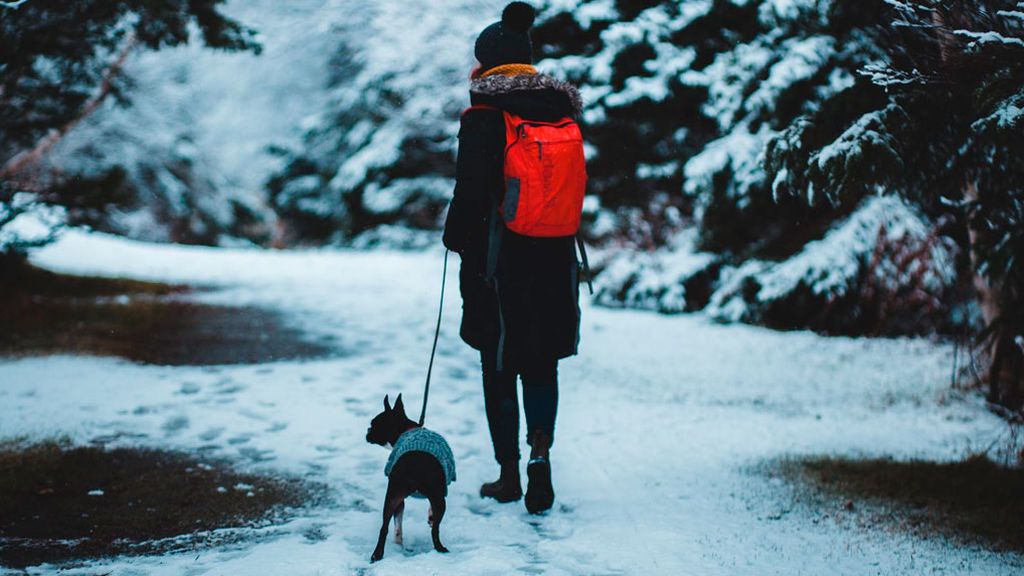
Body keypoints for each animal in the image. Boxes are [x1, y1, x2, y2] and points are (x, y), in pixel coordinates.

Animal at [364, 391, 452, 557]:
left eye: (374, 424)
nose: (367, 431)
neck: (407, 429)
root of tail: (414, 466)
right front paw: (431, 517)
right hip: (438, 499)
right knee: (435, 530)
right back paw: (440, 547)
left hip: (393, 496)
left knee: (384, 527)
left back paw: (377, 554)